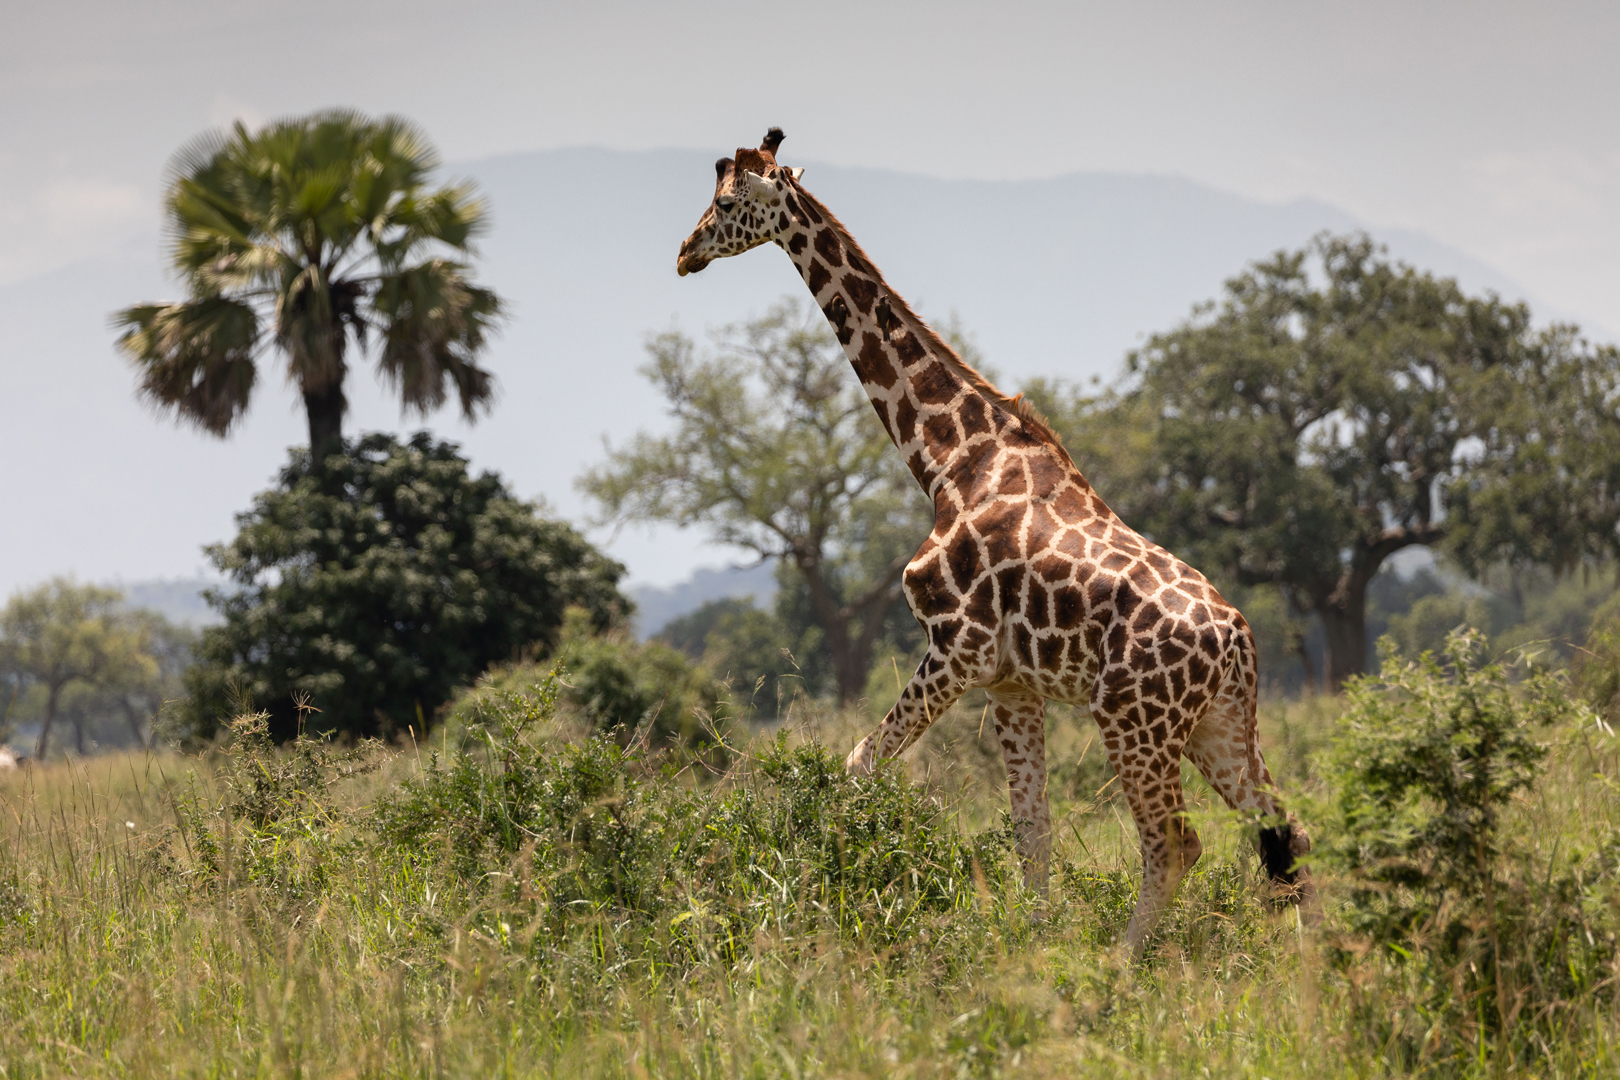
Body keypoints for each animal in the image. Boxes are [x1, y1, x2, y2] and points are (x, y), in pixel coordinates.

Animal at [673, 128, 1315, 952]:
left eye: (726, 204)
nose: (685, 252)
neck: (948, 459)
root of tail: (1238, 640)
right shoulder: (1013, 682)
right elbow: (1029, 828)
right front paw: (1033, 942)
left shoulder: (959, 648)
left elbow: (857, 765)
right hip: (1219, 724)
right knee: (1286, 828)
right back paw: (1327, 961)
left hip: (1133, 720)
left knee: (1177, 842)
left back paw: (1121, 962)